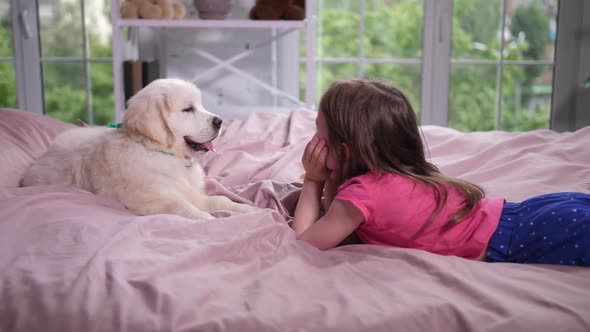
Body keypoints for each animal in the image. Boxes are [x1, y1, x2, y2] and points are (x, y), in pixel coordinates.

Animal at [21, 78, 256, 220]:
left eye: (200, 105)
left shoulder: (193, 193)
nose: (219, 121)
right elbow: (182, 207)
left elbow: (220, 200)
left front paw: (250, 209)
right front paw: (210, 220)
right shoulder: (151, 201)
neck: (161, 153)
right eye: (188, 109)